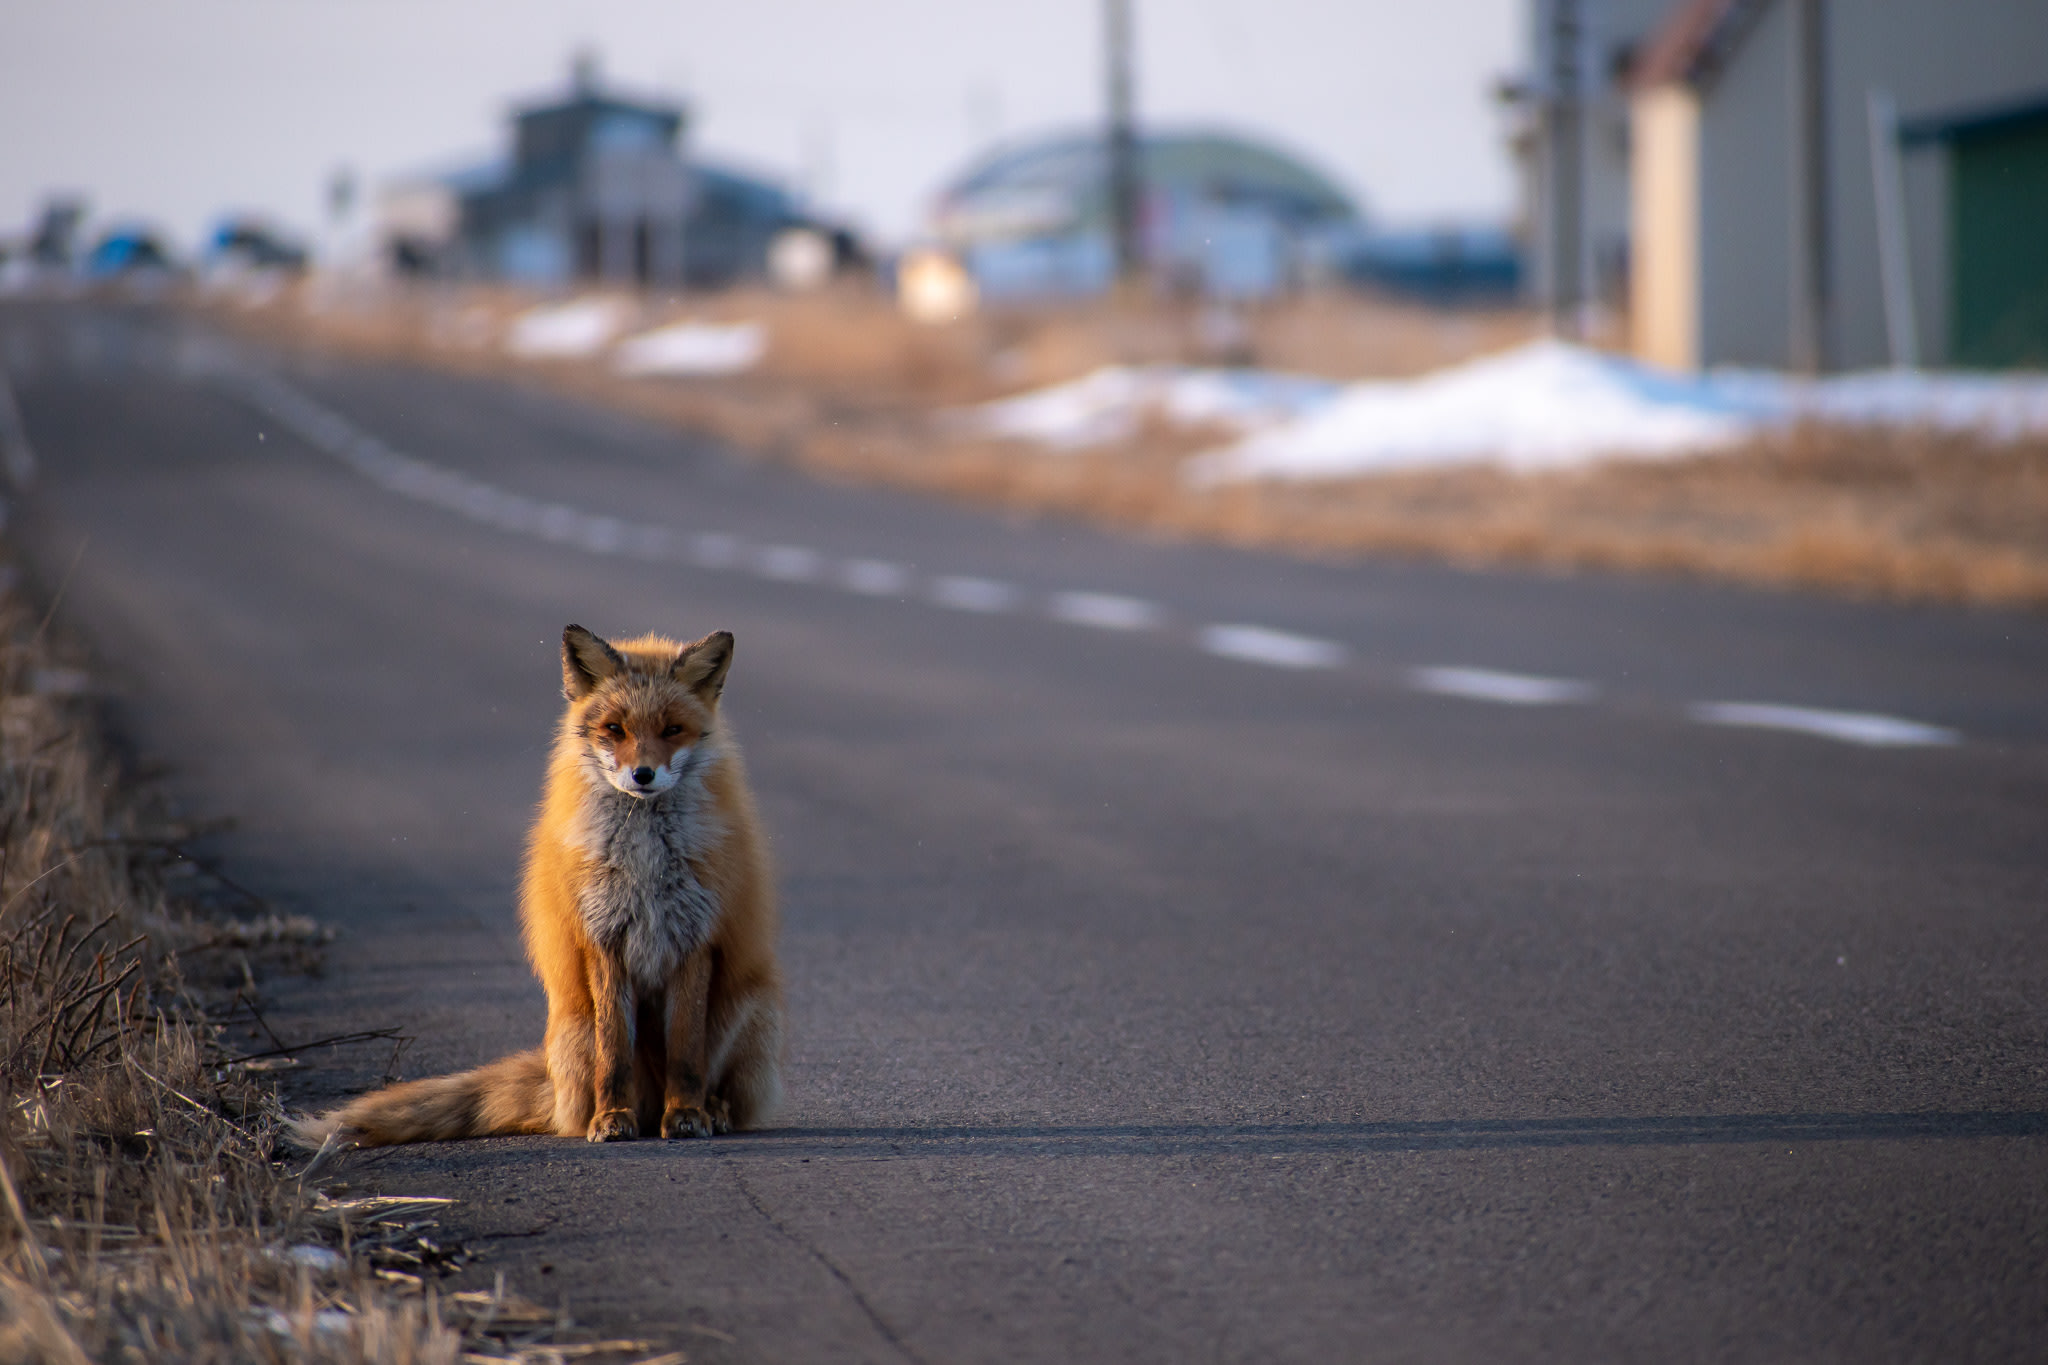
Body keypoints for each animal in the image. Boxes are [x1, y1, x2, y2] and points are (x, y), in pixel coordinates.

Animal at [296, 626, 782, 1146]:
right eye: (615, 729)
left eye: (672, 730)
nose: (643, 774)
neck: (645, 860)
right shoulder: (601, 938)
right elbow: (614, 1053)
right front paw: (612, 1118)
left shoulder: (695, 940)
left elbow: (686, 1054)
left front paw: (687, 1113)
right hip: (578, 1030)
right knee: (597, 1087)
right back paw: (611, 1115)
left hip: (746, 1009)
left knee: (721, 1085)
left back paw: (712, 1110)